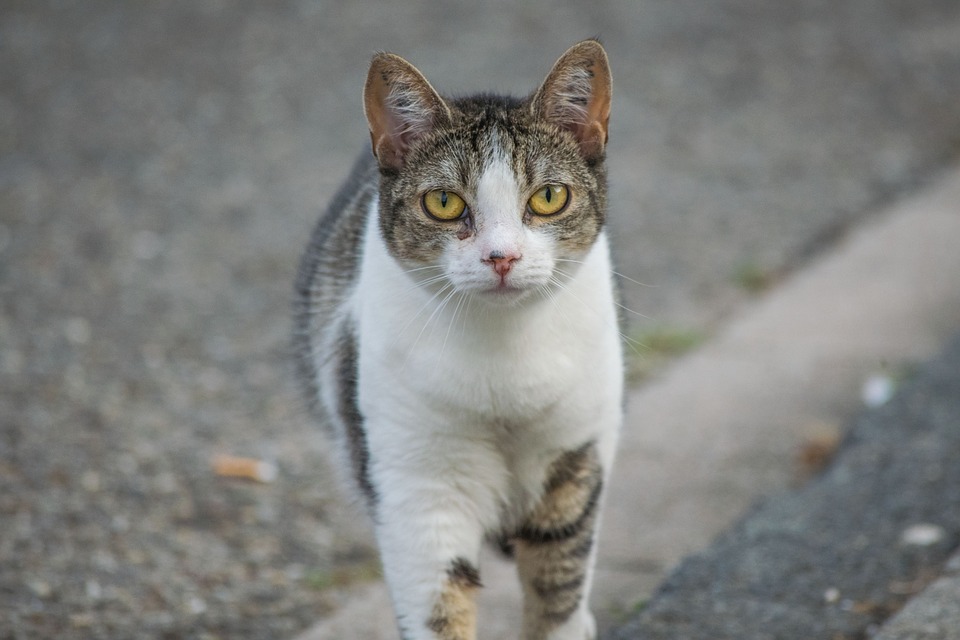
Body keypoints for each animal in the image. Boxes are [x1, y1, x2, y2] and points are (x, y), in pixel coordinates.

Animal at [294, 40, 624, 640]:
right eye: (444, 203)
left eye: (548, 197)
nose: (502, 257)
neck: (502, 357)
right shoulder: (416, 491)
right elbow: (439, 605)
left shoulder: (576, 456)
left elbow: (559, 589)